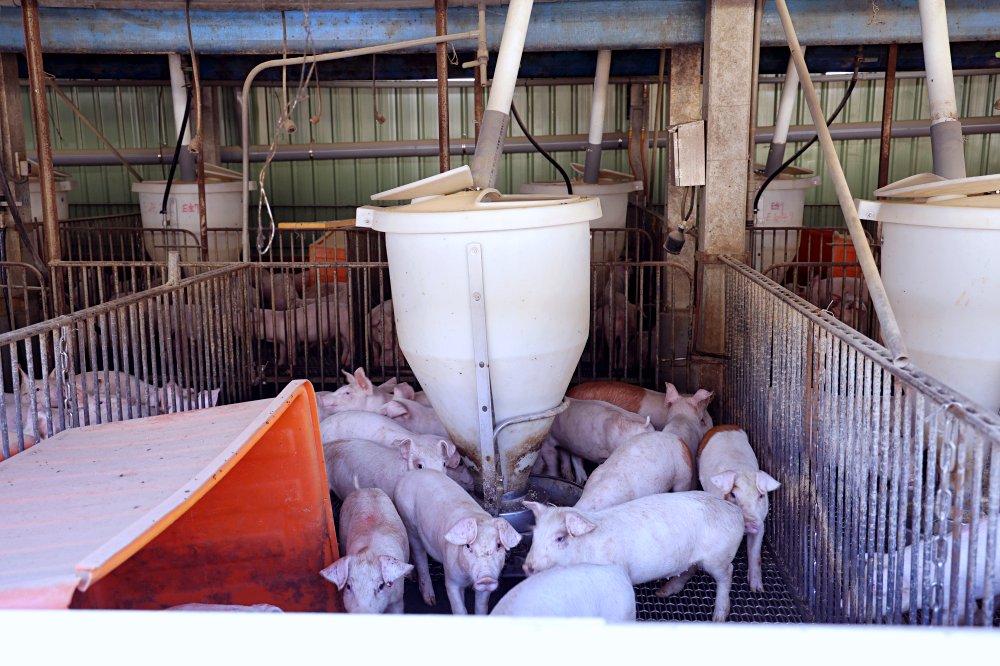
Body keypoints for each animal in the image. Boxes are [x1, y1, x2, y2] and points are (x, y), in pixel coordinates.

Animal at [394, 466, 524, 612]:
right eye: (468, 546)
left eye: (498, 545)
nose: (486, 578)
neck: (468, 578)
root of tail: (411, 474)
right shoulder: (451, 579)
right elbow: (459, 608)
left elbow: (481, 607)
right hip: (409, 525)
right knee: (420, 559)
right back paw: (431, 602)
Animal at [524, 490, 744, 620]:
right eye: (535, 534)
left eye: (560, 538)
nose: (527, 566)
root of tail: (735, 511)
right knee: (689, 570)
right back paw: (663, 592)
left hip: (718, 557)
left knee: (727, 574)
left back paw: (718, 618)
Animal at [696, 422, 780, 588]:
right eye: (733, 495)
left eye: (761, 496)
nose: (749, 522)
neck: (742, 470)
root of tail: (723, 425)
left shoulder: (761, 524)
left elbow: (755, 553)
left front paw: (757, 588)